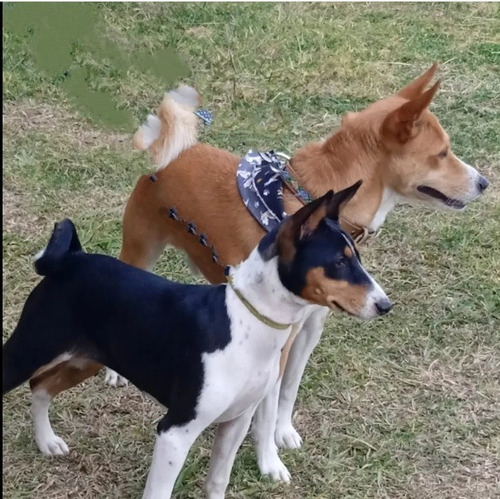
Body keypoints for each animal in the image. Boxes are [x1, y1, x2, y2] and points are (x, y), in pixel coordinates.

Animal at [3, 184, 392, 499]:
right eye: (339, 262)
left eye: (356, 257)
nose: (385, 305)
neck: (247, 325)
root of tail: (70, 258)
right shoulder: (175, 432)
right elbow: (159, 493)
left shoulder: (236, 422)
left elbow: (218, 481)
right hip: (26, 354)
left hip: (85, 360)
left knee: (41, 387)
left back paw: (47, 441)